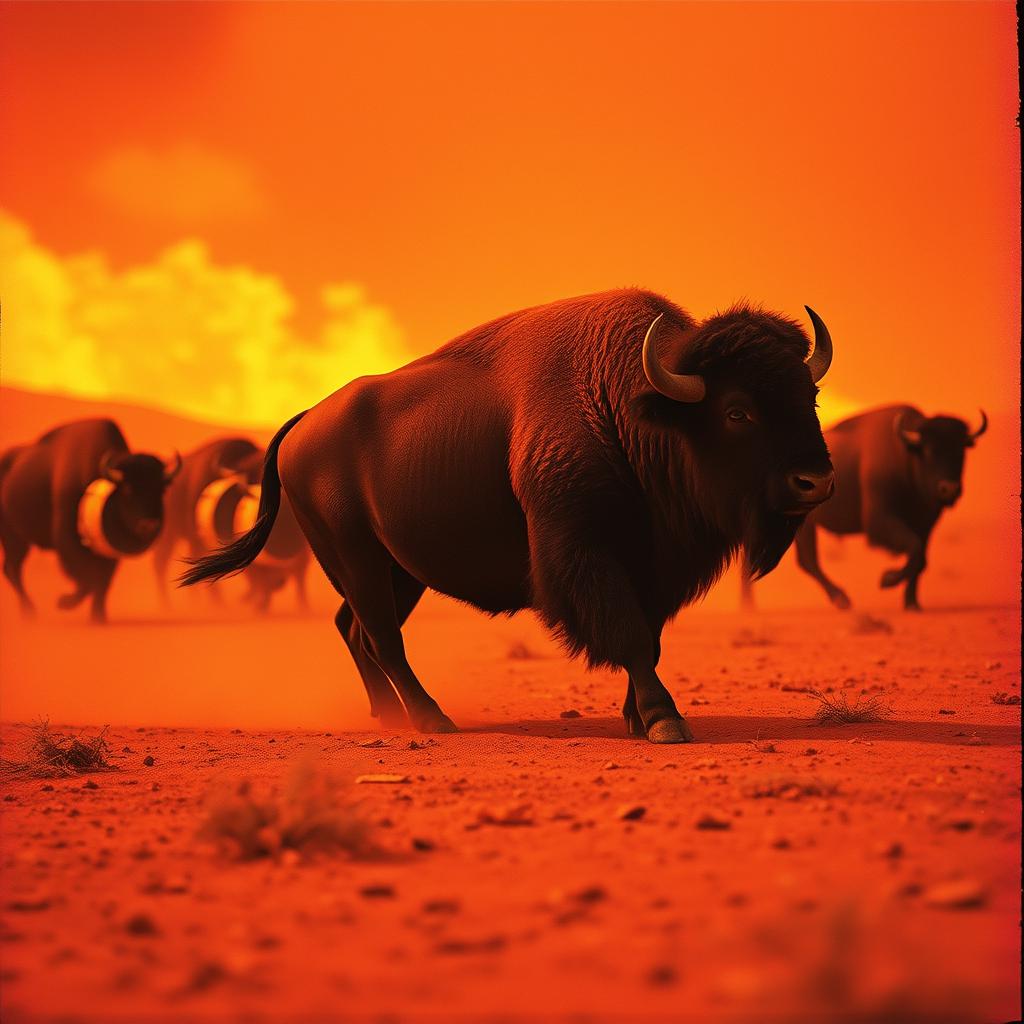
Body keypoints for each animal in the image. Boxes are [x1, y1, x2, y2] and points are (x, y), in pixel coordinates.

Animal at [0, 418, 180, 623]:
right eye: (127, 488)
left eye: (162, 489)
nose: (149, 524)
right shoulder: (68, 542)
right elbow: (86, 578)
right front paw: (63, 602)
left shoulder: (108, 551)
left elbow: (102, 582)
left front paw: (99, 616)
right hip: (14, 539)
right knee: (13, 569)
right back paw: (29, 611)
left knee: (11, 569)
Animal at [182, 289, 836, 742]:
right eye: (736, 411)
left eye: (810, 396)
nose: (816, 481)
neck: (628, 404)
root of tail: (303, 424)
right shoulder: (586, 555)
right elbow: (628, 635)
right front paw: (663, 720)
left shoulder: (651, 567)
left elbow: (646, 636)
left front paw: (636, 716)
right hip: (356, 557)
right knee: (382, 636)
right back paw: (432, 720)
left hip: (399, 571)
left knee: (355, 629)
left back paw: (391, 717)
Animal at [789, 404, 987, 611]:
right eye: (929, 451)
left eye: (961, 451)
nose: (949, 489)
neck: (905, 455)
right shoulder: (878, 523)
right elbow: (914, 548)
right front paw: (887, 580)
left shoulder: (926, 526)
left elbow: (921, 560)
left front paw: (912, 603)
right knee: (809, 560)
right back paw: (841, 599)